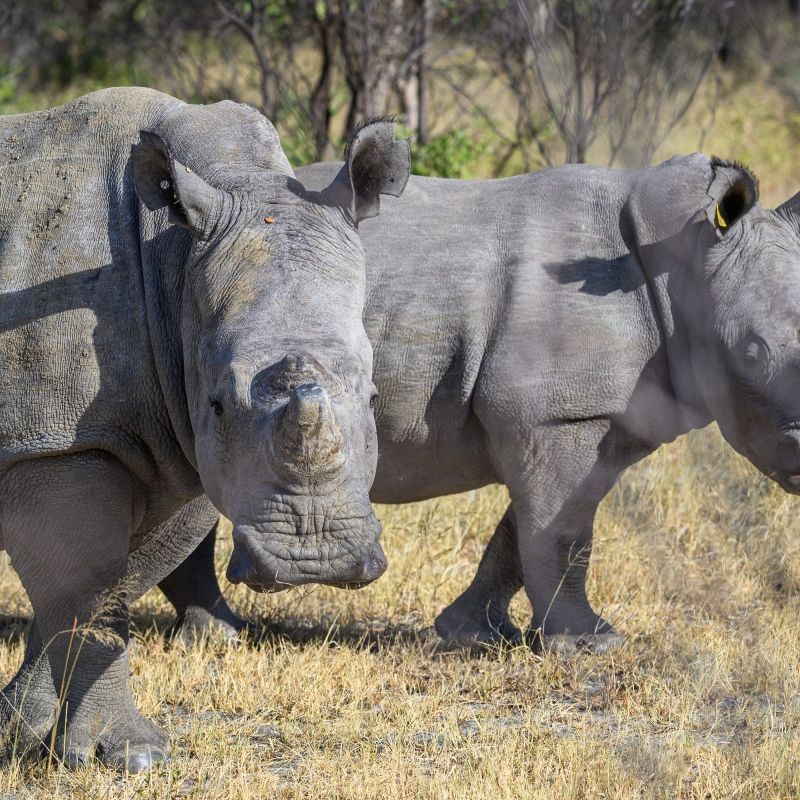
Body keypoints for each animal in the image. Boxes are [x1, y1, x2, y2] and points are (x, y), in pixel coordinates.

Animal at [0, 89, 409, 771]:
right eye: (217, 403)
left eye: (375, 397)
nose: (314, 557)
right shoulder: (58, 442)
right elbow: (89, 588)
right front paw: (129, 756)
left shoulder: (179, 441)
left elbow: (111, 584)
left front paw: (21, 728)